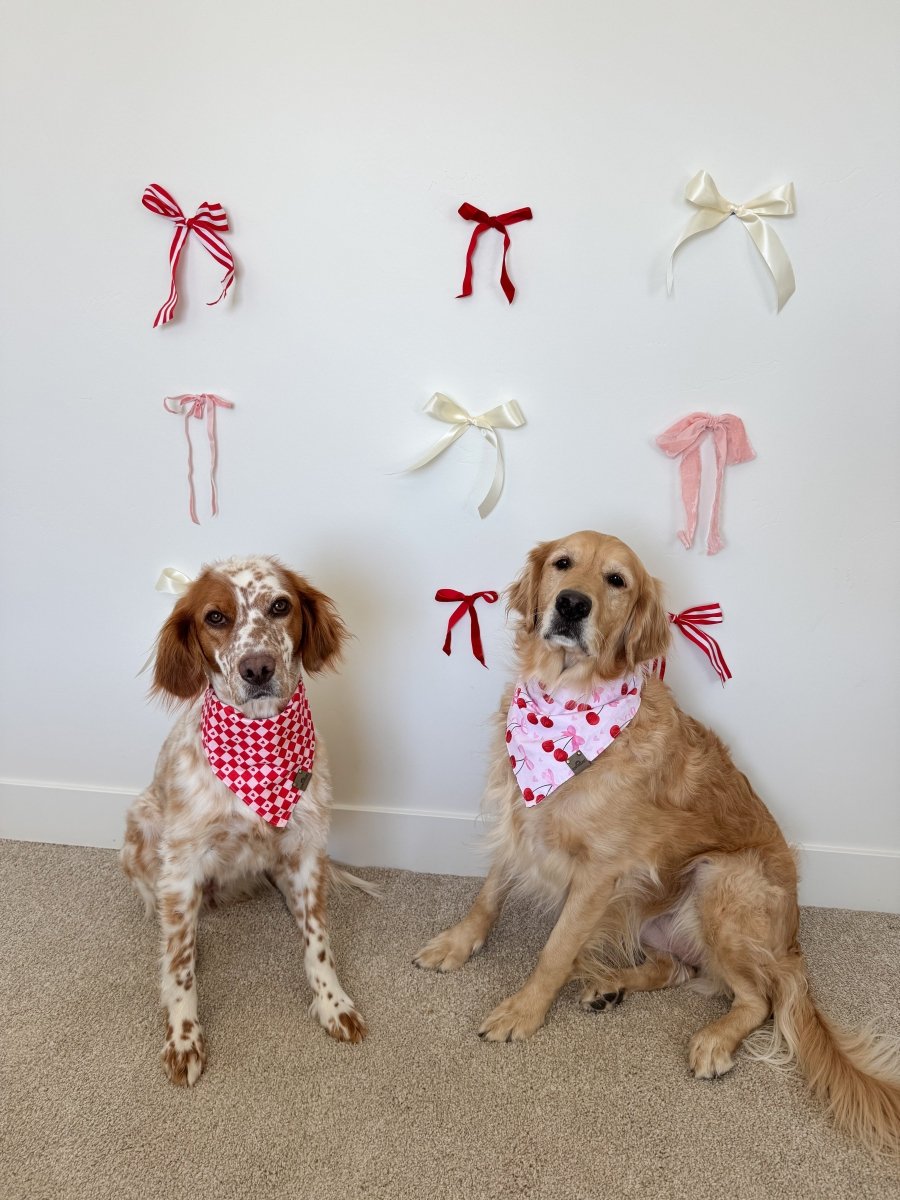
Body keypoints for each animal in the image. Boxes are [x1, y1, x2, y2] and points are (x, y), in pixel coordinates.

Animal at [123, 556, 369, 1084]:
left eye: (280, 606)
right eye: (215, 617)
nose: (257, 667)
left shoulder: (307, 848)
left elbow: (318, 941)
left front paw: (333, 1003)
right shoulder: (181, 862)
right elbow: (178, 965)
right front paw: (183, 1037)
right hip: (141, 825)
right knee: (166, 917)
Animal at [415, 532, 900, 1152]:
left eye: (617, 581)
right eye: (563, 564)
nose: (572, 604)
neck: (569, 700)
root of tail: (792, 944)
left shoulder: (599, 872)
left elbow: (554, 951)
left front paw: (523, 1011)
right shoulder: (520, 816)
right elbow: (489, 895)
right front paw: (458, 944)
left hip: (720, 879)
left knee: (758, 997)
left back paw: (713, 1039)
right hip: (650, 910)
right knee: (677, 970)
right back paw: (607, 984)